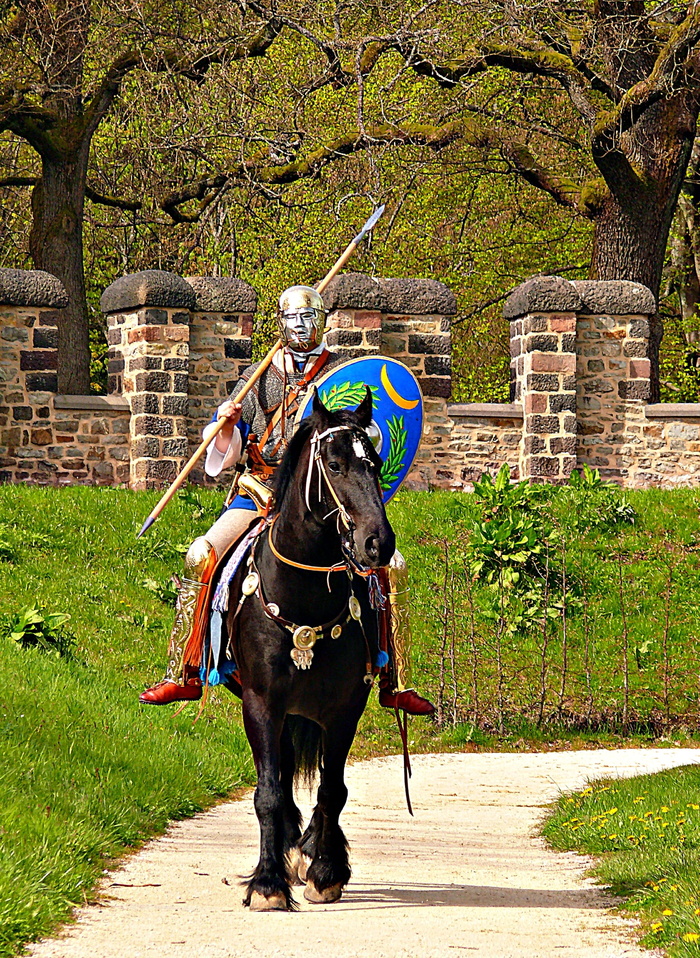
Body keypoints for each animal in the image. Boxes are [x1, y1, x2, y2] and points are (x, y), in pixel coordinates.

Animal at [227, 386, 396, 912]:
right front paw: (267, 882)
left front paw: (324, 870)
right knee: (279, 777)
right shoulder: (262, 702)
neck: (303, 595)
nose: (378, 543)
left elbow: (332, 790)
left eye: (375, 464)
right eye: (335, 464)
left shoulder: (344, 709)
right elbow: (268, 792)